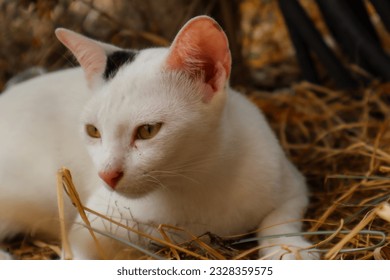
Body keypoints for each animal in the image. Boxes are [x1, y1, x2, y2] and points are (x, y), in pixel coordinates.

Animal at [0, 16, 316, 260]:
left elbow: (280, 218)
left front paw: (288, 248)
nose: (107, 175)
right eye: (93, 131)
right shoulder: (94, 221)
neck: (196, 179)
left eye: (148, 131)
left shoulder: (290, 181)